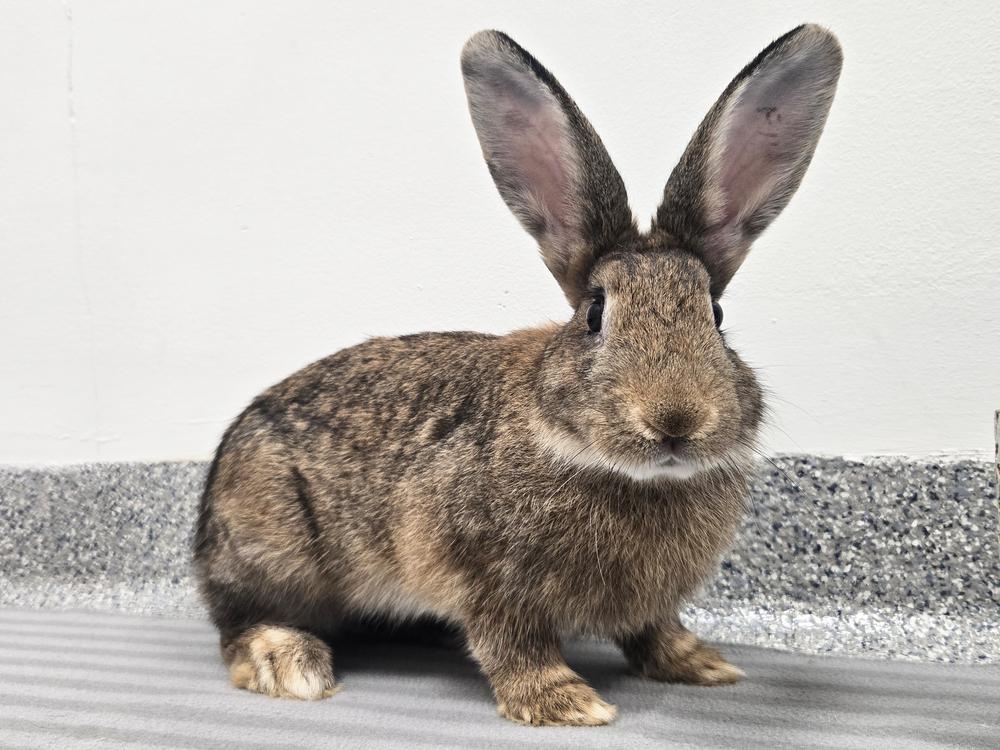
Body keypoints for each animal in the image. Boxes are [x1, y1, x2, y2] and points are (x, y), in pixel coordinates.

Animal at [193, 24, 841, 726]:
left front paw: (700, 664)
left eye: (715, 316)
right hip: (272, 545)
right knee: (237, 623)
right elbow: (512, 643)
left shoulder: (649, 602)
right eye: (594, 313)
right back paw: (290, 662)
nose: (676, 420)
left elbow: (654, 629)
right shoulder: (483, 575)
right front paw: (565, 702)